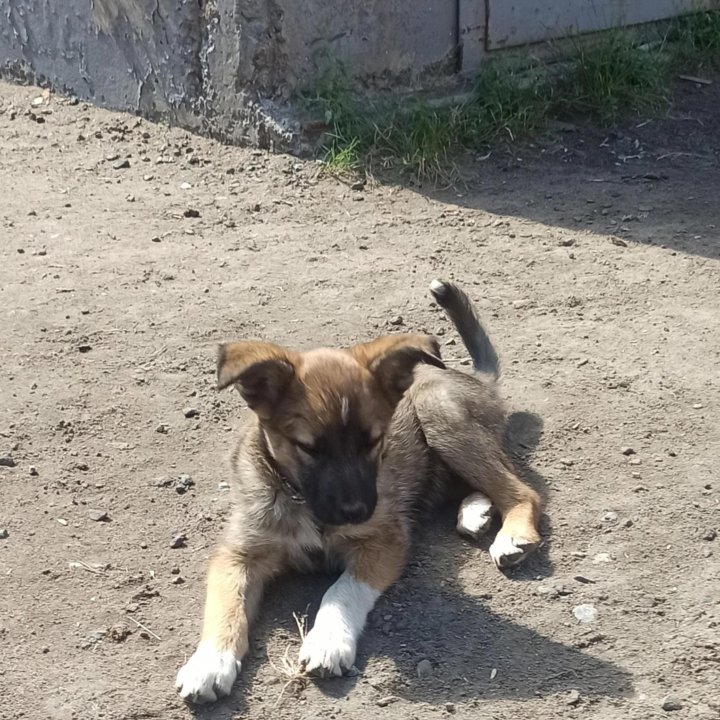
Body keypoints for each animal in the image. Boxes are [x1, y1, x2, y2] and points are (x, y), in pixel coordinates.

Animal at [176, 280, 540, 704]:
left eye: (374, 441)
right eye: (309, 448)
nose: (357, 511)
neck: (301, 501)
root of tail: (476, 379)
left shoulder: (384, 540)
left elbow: (342, 590)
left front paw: (328, 640)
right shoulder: (238, 553)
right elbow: (226, 605)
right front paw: (208, 663)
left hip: (437, 411)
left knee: (522, 490)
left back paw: (511, 535)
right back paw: (475, 512)